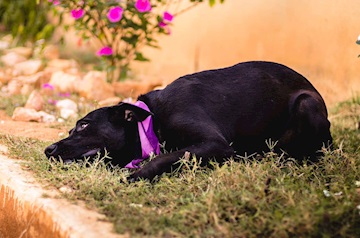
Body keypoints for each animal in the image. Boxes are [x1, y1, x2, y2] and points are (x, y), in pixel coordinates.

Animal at [44, 61, 332, 180]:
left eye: (83, 125)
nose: (48, 149)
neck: (153, 120)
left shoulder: (214, 144)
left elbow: (163, 158)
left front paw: (136, 175)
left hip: (306, 104)